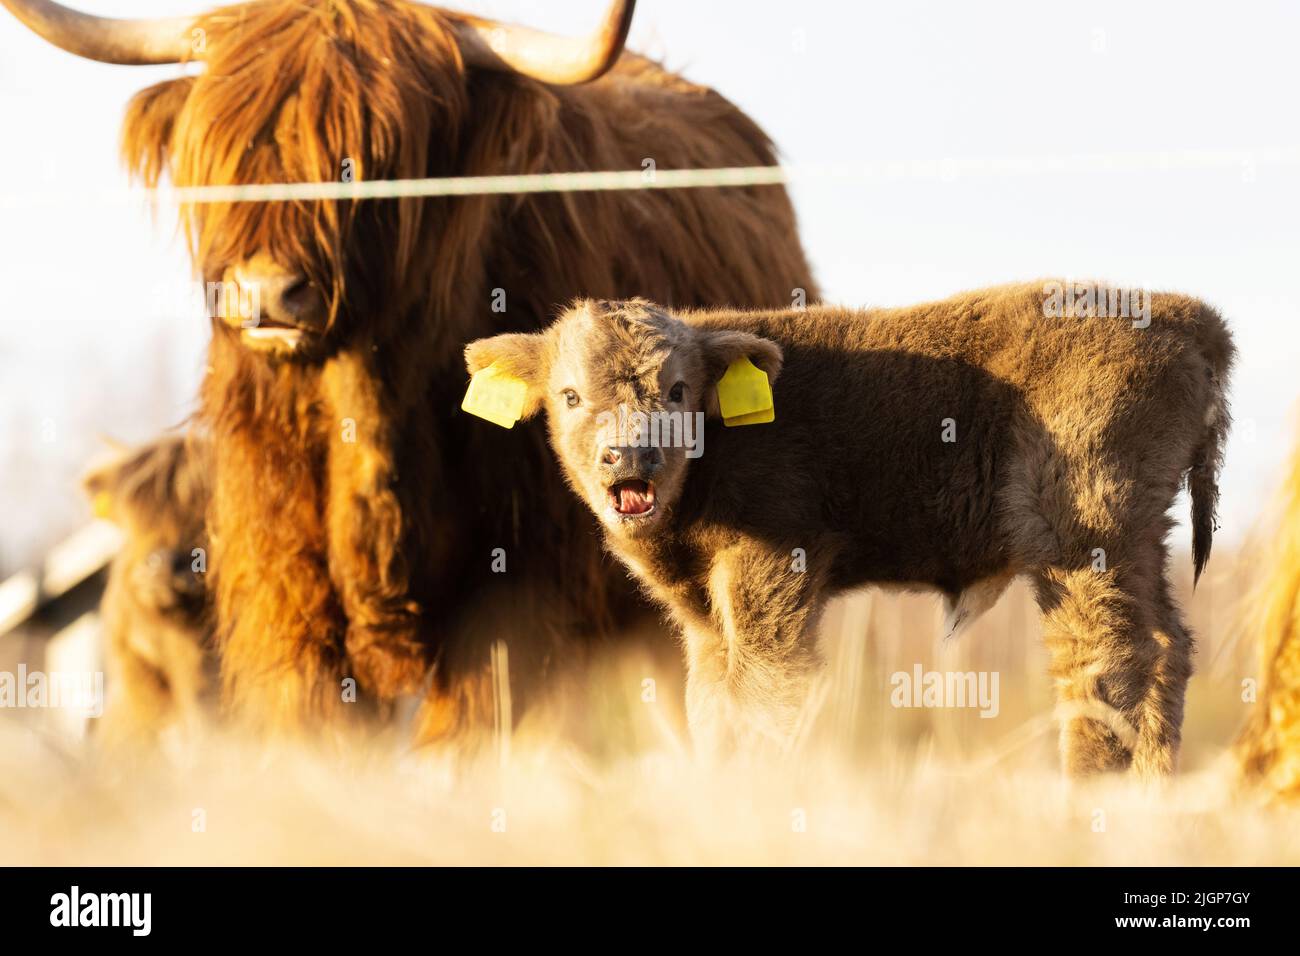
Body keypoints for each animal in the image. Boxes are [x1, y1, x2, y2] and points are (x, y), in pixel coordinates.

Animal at [465, 286, 1227, 780]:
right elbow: (712, 705)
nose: (631, 456)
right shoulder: (705, 616)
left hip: (1083, 537)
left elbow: (767, 691)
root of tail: (1189, 317)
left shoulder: (772, 573)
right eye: (569, 395)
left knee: (1108, 658)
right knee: (1168, 647)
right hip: (1138, 541)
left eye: (677, 390)